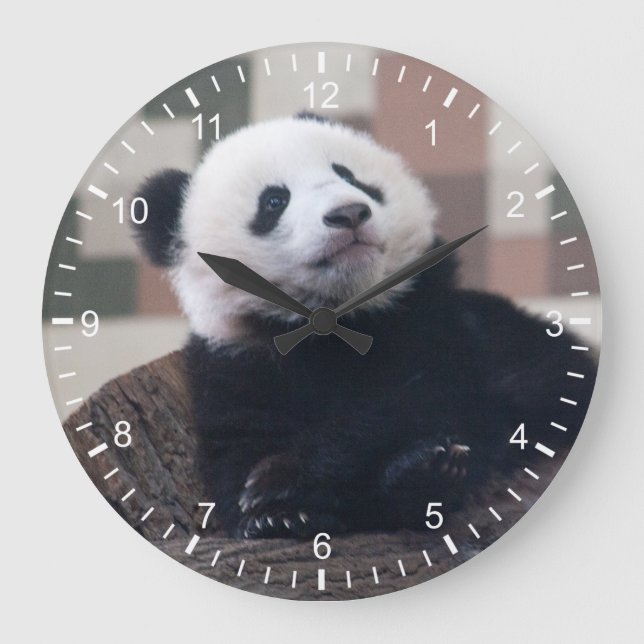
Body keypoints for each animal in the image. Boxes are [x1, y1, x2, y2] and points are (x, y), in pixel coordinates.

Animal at [133, 113, 596, 539]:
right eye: (274, 201)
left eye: (349, 176)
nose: (349, 213)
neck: (335, 318)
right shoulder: (237, 359)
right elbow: (235, 451)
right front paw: (274, 514)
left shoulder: (431, 316)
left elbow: (415, 396)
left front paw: (280, 480)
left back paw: (428, 472)